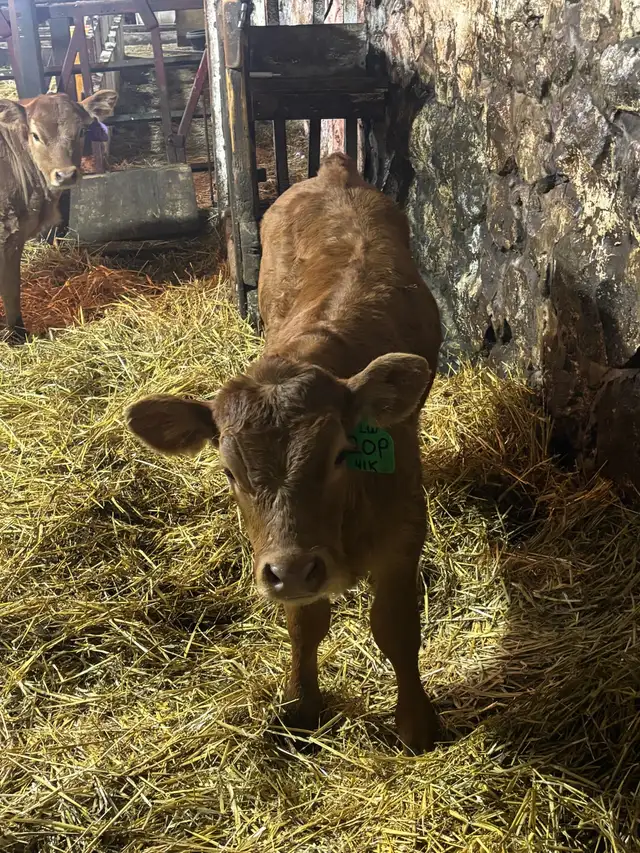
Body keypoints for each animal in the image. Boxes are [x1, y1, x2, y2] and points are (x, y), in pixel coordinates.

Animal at [0, 90, 118, 343]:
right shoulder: (8, 234)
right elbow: (11, 288)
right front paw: (17, 335)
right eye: (35, 135)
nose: (65, 175)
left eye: (81, 131)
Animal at [126, 152, 443, 754]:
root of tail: (334, 170)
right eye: (229, 472)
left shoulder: (403, 532)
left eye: (342, 454)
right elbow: (305, 624)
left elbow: (396, 628)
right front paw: (301, 704)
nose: (294, 570)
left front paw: (416, 724)